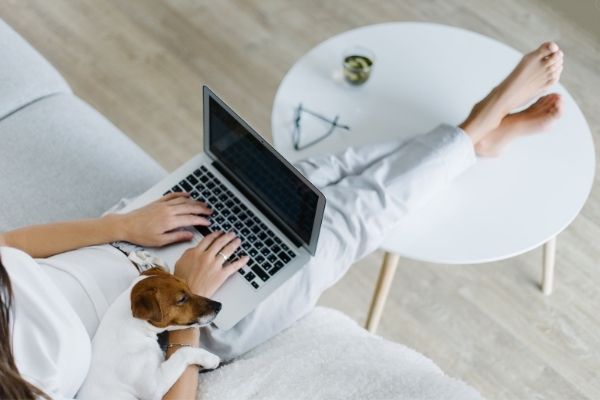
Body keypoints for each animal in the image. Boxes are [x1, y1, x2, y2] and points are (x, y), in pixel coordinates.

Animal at [78, 266, 221, 400]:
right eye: (182, 299)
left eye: (189, 288)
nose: (219, 305)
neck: (134, 329)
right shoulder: (155, 386)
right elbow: (183, 352)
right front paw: (210, 359)